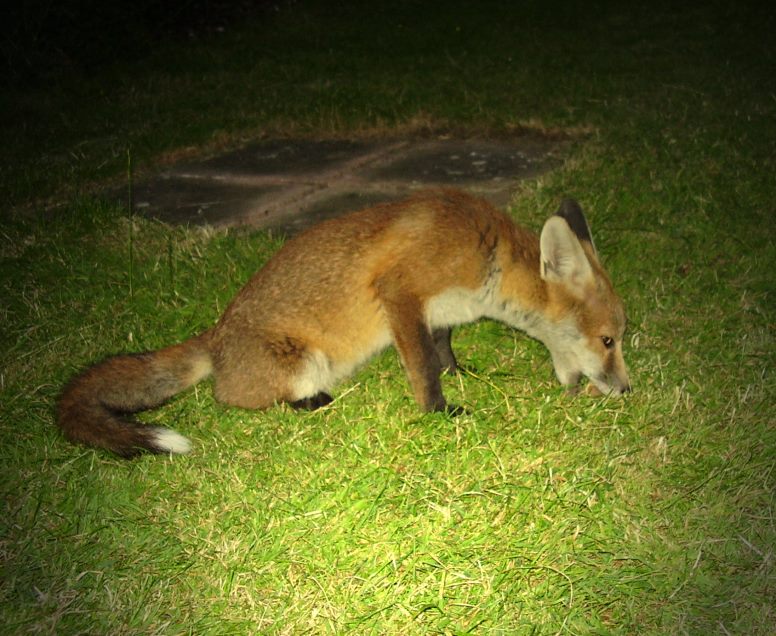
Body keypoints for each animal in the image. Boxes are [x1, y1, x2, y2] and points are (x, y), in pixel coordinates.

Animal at [57, 188, 630, 458]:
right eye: (608, 340)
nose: (626, 390)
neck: (490, 258)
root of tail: (215, 336)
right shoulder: (401, 292)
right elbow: (423, 366)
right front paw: (440, 412)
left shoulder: (441, 312)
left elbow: (443, 350)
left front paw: (463, 374)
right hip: (304, 361)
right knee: (237, 398)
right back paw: (315, 402)